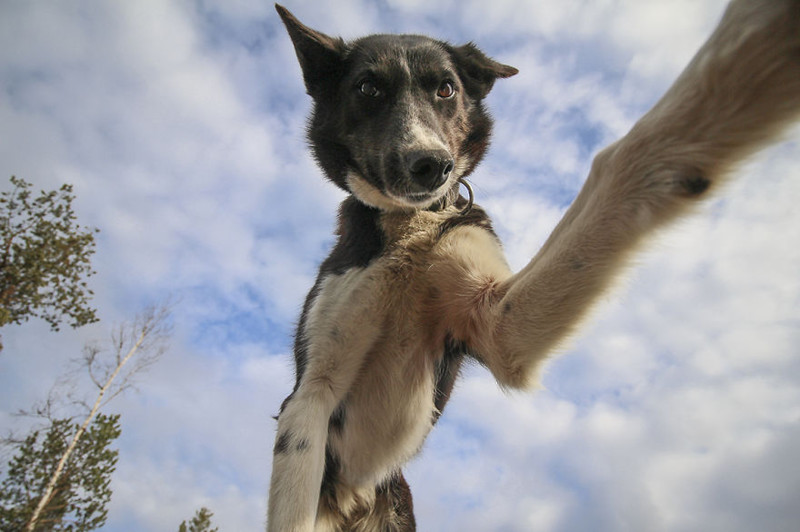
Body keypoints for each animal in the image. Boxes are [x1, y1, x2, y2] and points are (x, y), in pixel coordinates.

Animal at [268, 2, 800, 528]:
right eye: (367, 88)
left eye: (446, 88)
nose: (430, 165)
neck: (411, 223)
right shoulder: (309, 398)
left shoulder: (498, 327)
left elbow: (614, 165)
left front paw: (750, 51)